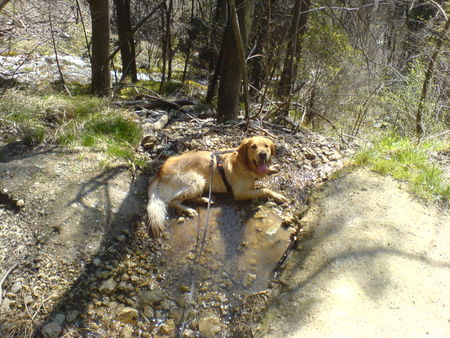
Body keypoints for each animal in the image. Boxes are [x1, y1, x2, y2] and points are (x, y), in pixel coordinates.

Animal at [148, 136, 288, 236]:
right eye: (253, 146)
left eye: (266, 146)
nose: (263, 154)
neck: (245, 164)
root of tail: (159, 171)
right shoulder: (239, 193)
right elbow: (265, 189)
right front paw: (277, 195)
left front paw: (272, 168)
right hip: (197, 180)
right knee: (172, 201)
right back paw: (188, 209)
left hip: (200, 183)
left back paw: (204, 199)